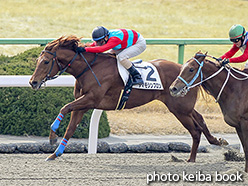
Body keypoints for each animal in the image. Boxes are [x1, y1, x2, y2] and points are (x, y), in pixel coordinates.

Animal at [29, 35, 223, 161]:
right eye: (37, 60)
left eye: (45, 61)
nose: (33, 82)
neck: (89, 67)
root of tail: (192, 71)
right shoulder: (83, 104)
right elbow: (70, 128)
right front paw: (55, 154)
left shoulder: (91, 99)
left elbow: (65, 107)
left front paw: (52, 134)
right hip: (183, 106)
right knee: (200, 119)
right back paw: (216, 141)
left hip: (179, 108)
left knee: (195, 130)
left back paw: (191, 160)